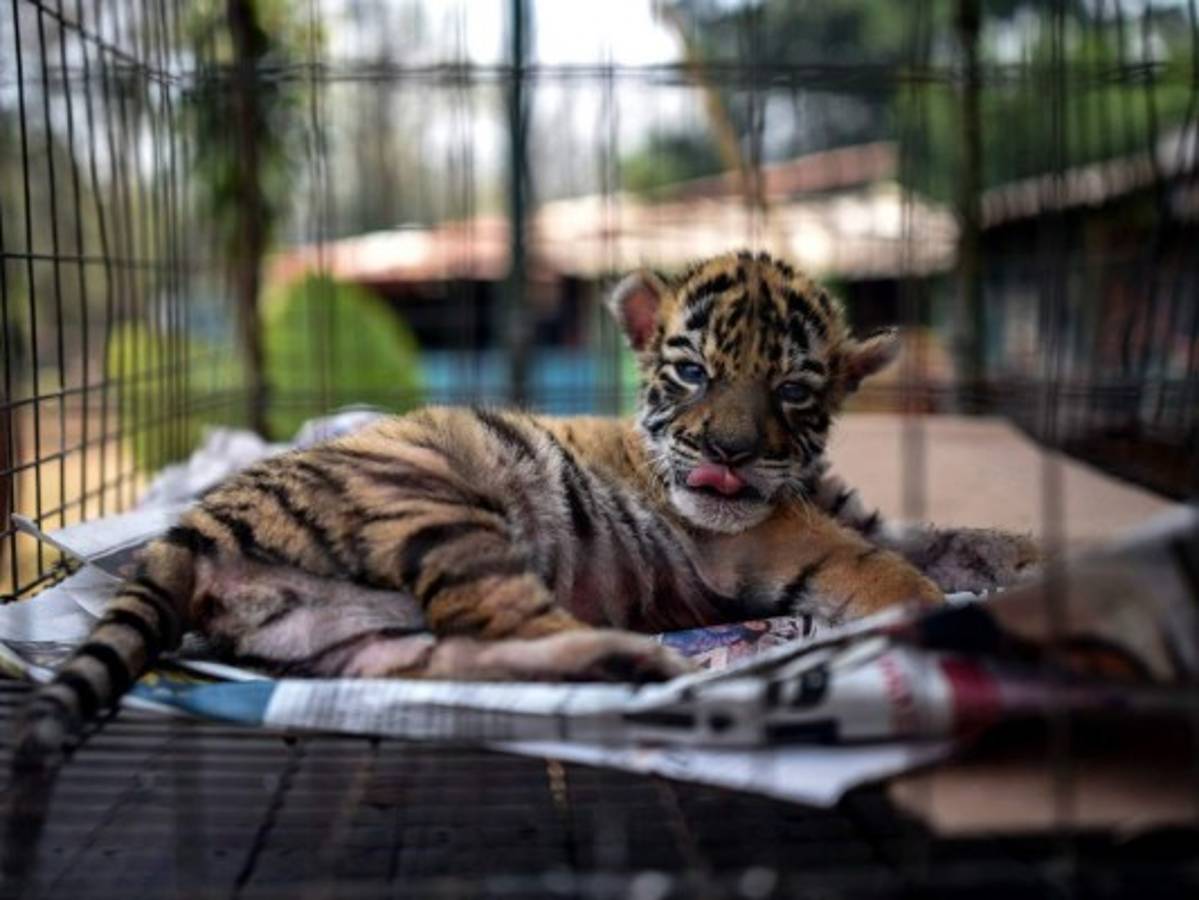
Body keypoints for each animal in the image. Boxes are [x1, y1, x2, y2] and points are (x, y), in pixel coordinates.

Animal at [18, 250, 1038, 764]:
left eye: (793, 391)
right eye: (693, 374)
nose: (726, 453)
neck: (796, 483)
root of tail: (192, 525)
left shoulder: (849, 509)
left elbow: (939, 535)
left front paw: (1023, 559)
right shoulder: (773, 540)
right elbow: (883, 569)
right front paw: (946, 617)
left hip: (354, 643)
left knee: (463, 660)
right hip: (440, 511)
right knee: (506, 623)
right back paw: (655, 667)